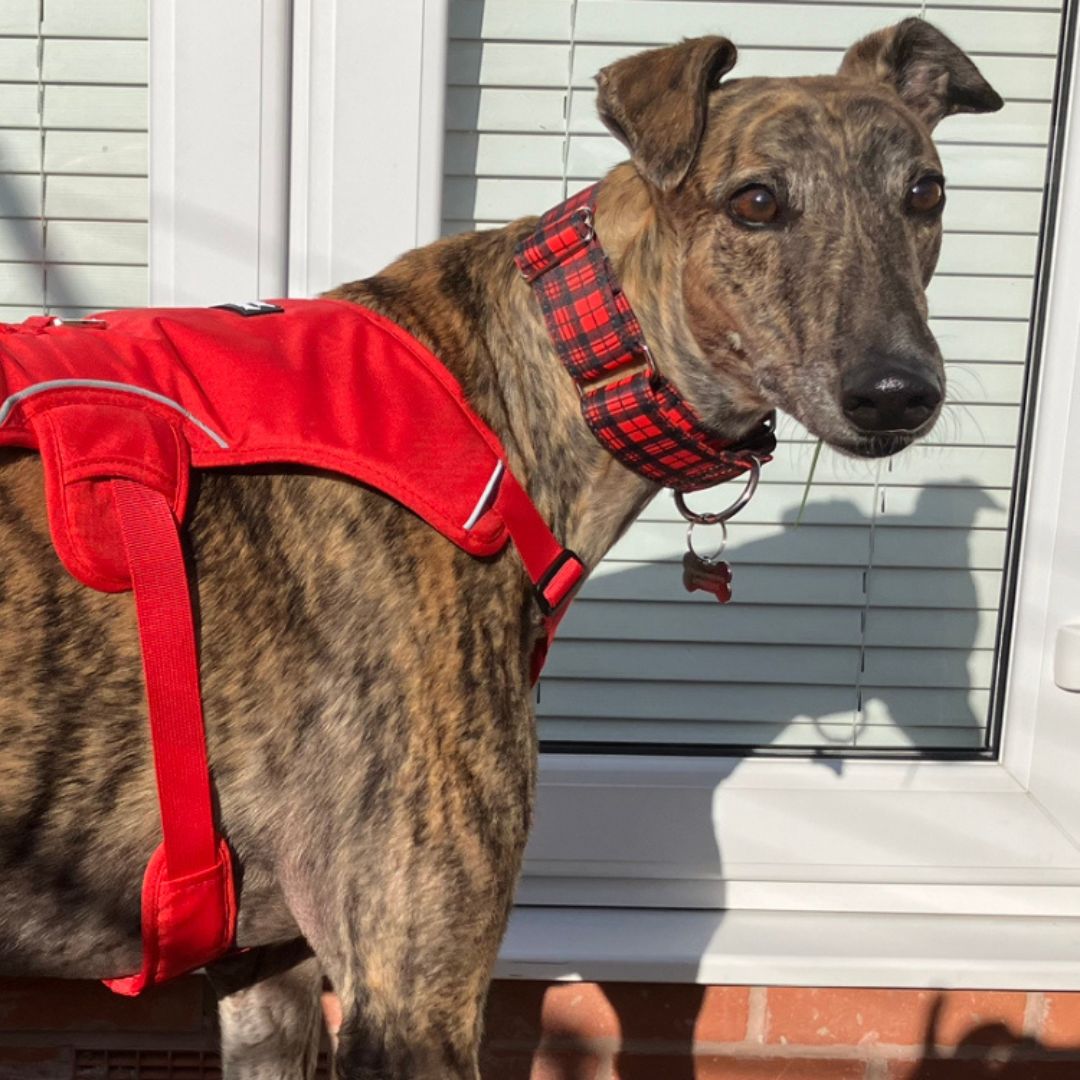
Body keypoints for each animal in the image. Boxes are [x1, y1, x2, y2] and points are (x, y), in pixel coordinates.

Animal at [0, 16, 1002, 1080]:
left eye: (926, 192)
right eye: (757, 201)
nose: (897, 394)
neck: (531, 383)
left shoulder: (267, 973)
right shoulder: (410, 998)